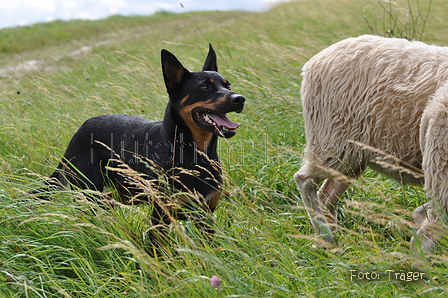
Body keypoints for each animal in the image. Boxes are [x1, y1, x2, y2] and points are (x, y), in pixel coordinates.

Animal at [46, 45, 245, 242]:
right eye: (204, 87)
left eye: (227, 85)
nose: (240, 99)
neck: (194, 155)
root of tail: (80, 129)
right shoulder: (161, 217)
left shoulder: (205, 216)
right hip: (89, 191)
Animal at [296, 35, 448, 254]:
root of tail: (315, 61)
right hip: (332, 139)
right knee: (305, 180)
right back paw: (327, 236)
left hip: (352, 154)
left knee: (326, 195)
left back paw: (331, 244)